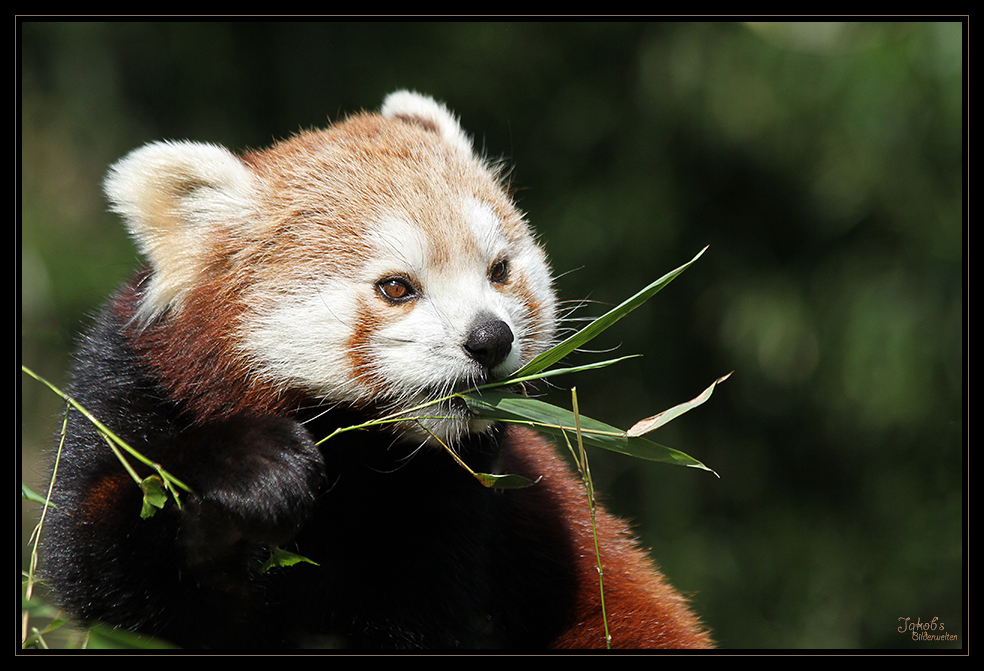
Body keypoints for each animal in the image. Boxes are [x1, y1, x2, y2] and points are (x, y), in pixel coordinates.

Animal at [42, 92, 712, 648]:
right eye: (396, 287)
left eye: (499, 271)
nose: (491, 338)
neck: (358, 458)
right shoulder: (129, 391)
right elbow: (102, 570)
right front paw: (246, 471)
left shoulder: (451, 508)